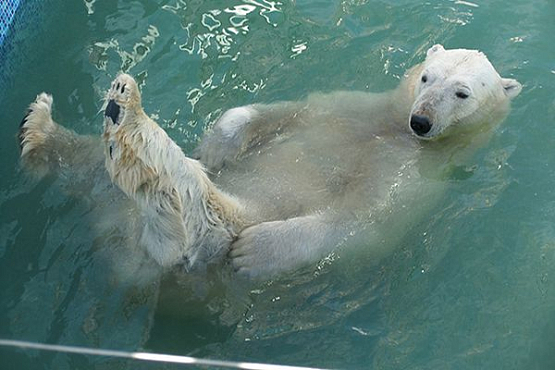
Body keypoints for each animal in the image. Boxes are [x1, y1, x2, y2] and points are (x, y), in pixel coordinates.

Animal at [17, 44, 520, 278]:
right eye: (427, 76)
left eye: (462, 92)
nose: (421, 120)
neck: (393, 131)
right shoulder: (351, 108)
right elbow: (281, 112)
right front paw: (217, 145)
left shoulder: (416, 176)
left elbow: (364, 223)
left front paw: (255, 251)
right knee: (86, 162)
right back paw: (45, 125)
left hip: (203, 238)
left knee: (195, 216)